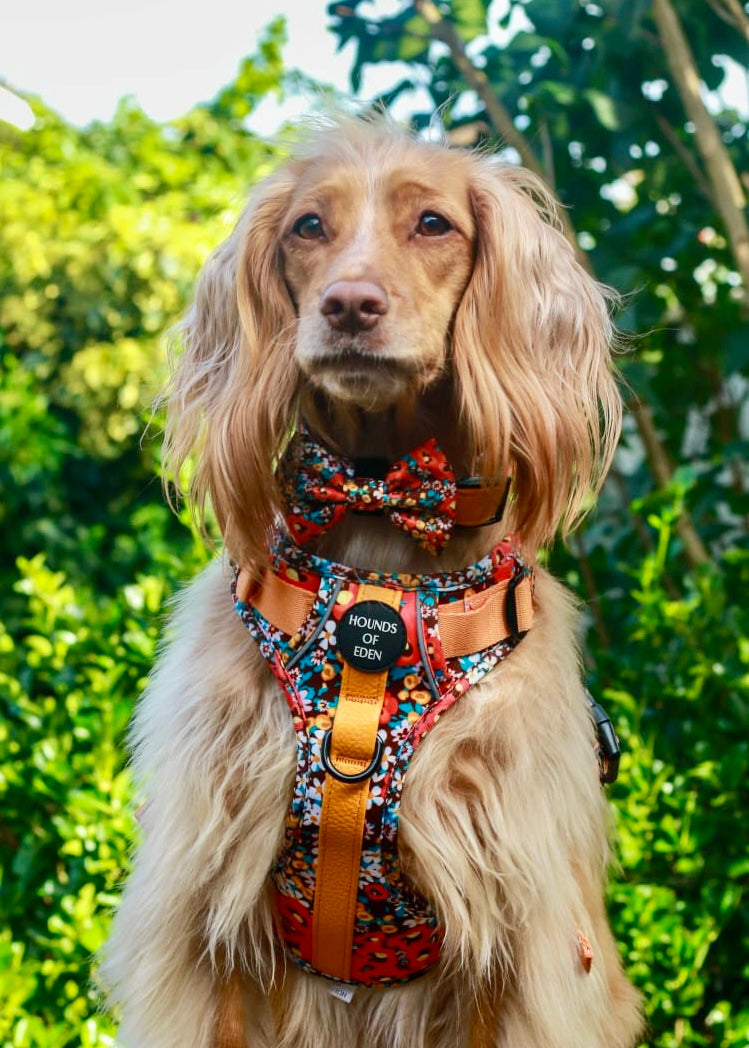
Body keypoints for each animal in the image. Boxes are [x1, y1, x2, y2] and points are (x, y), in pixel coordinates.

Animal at [104, 116, 645, 1048]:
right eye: (307, 227)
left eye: (432, 224)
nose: (348, 305)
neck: (379, 530)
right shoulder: (205, 914)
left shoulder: (515, 937)